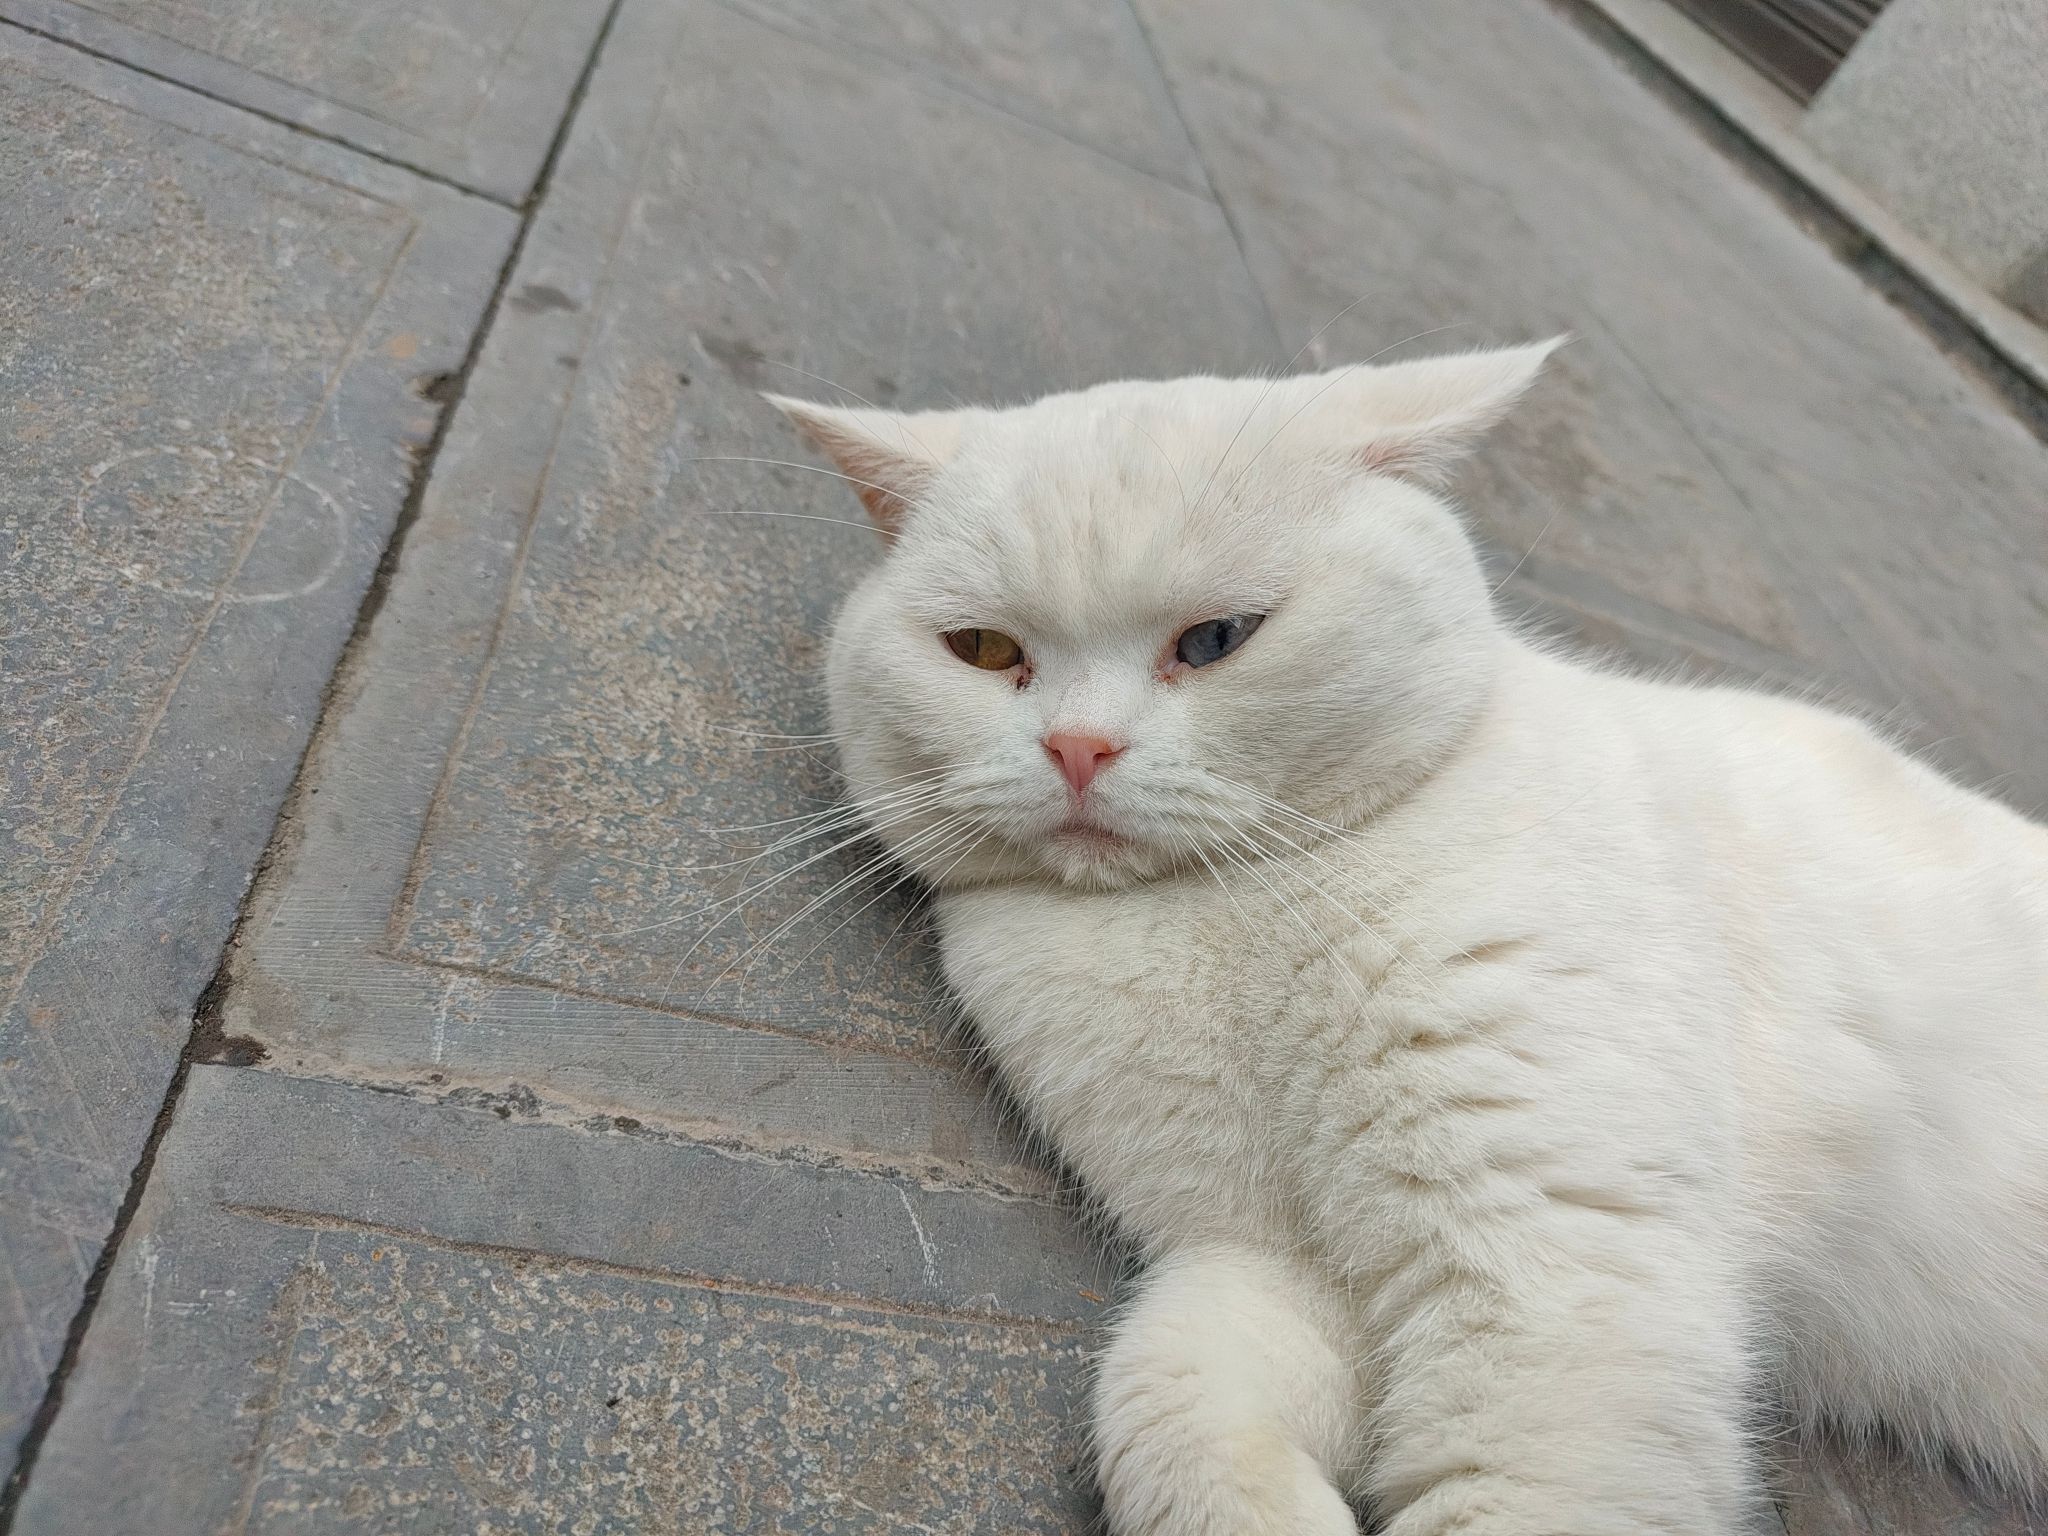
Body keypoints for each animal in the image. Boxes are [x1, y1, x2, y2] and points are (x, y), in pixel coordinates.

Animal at [766, 342, 2048, 1536]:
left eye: (1215, 639)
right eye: (984, 652)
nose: (1077, 749)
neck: (1224, 910)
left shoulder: (1549, 1274)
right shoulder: (1268, 1259)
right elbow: (1163, 1395)